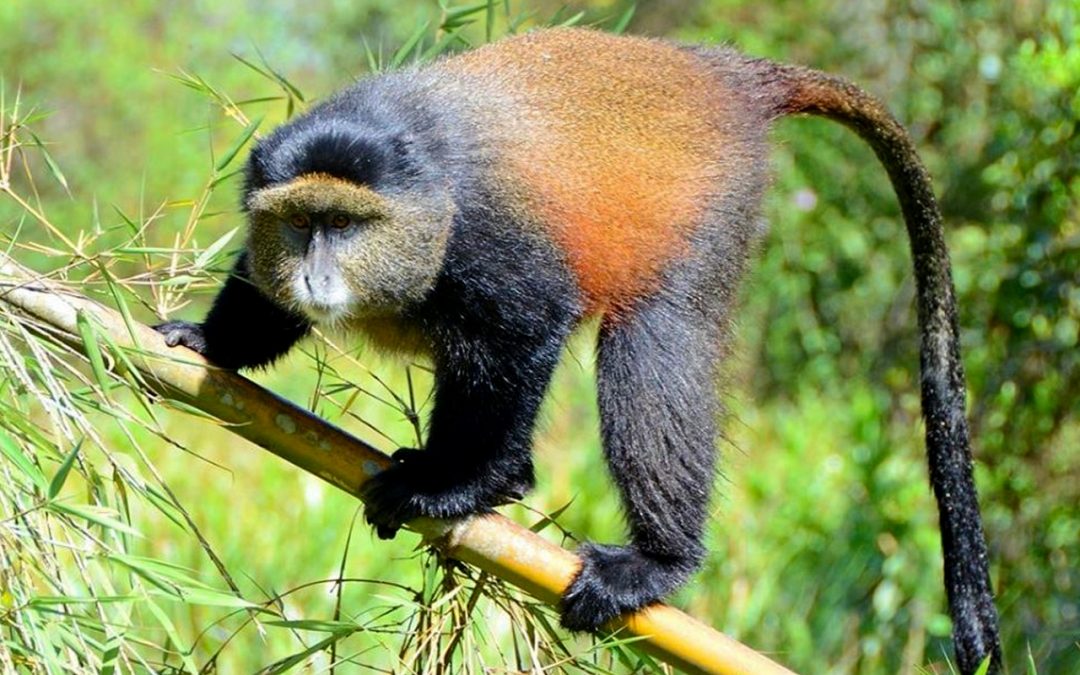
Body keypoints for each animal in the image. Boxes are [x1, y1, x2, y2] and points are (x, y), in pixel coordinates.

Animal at [155, 28, 1001, 673]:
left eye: (345, 223)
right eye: (301, 223)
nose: (316, 273)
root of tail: (724, 73)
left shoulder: (490, 239)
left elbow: (526, 330)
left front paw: (463, 487)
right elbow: (261, 297)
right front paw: (204, 342)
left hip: (704, 209)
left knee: (653, 343)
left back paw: (656, 558)